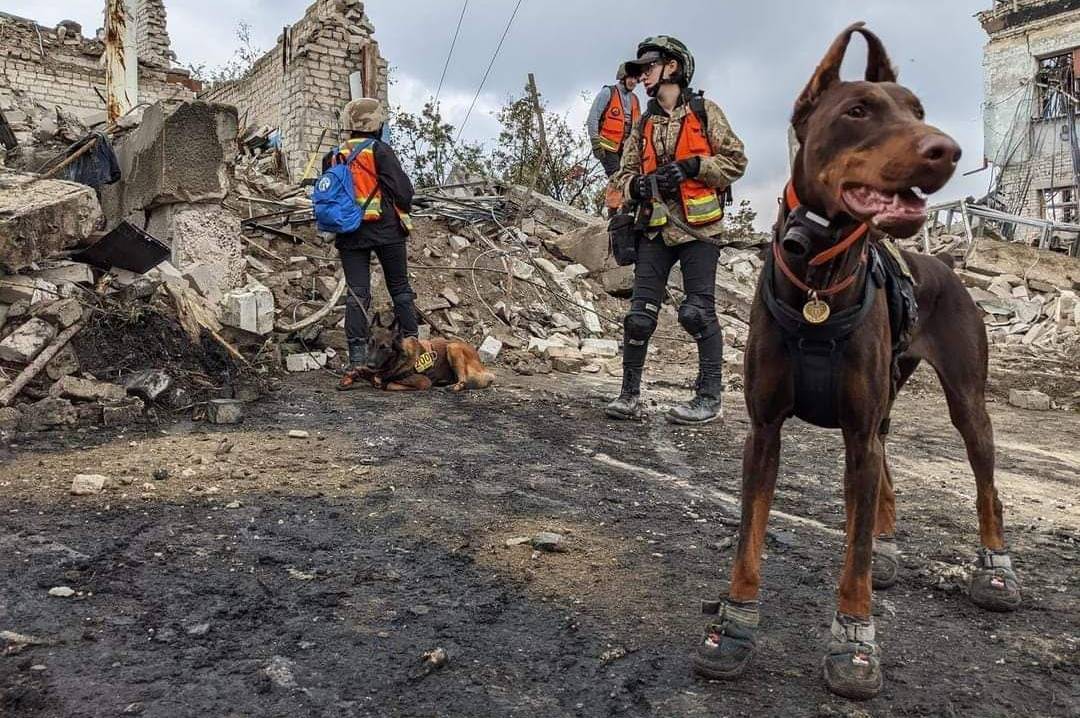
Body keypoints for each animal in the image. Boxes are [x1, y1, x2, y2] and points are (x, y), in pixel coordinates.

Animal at [365, 313, 494, 393]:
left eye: (384, 347)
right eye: (371, 343)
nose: (369, 365)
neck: (399, 358)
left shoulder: (424, 382)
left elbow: (389, 384)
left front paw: (383, 383)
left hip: (453, 347)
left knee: (463, 380)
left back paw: (451, 387)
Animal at [691, 23, 1019, 699]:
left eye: (918, 111)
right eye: (858, 111)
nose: (947, 150)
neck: (818, 281)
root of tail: (944, 266)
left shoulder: (857, 433)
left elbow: (855, 556)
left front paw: (854, 641)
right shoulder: (765, 429)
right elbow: (748, 539)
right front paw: (734, 627)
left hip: (964, 402)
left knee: (985, 487)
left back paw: (995, 569)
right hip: (885, 404)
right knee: (887, 475)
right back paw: (892, 544)